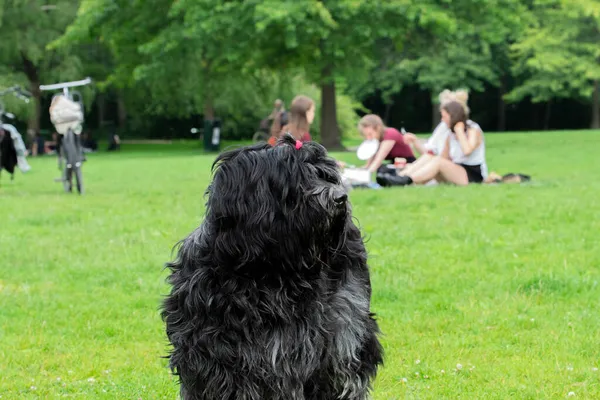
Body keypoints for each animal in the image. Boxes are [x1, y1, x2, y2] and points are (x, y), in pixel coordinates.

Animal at [162, 136, 382, 398]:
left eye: (326, 175)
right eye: (298, 180)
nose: (341, 197)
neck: (263, 271)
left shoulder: (289, 349)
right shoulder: (208, 345)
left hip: (347, 324)